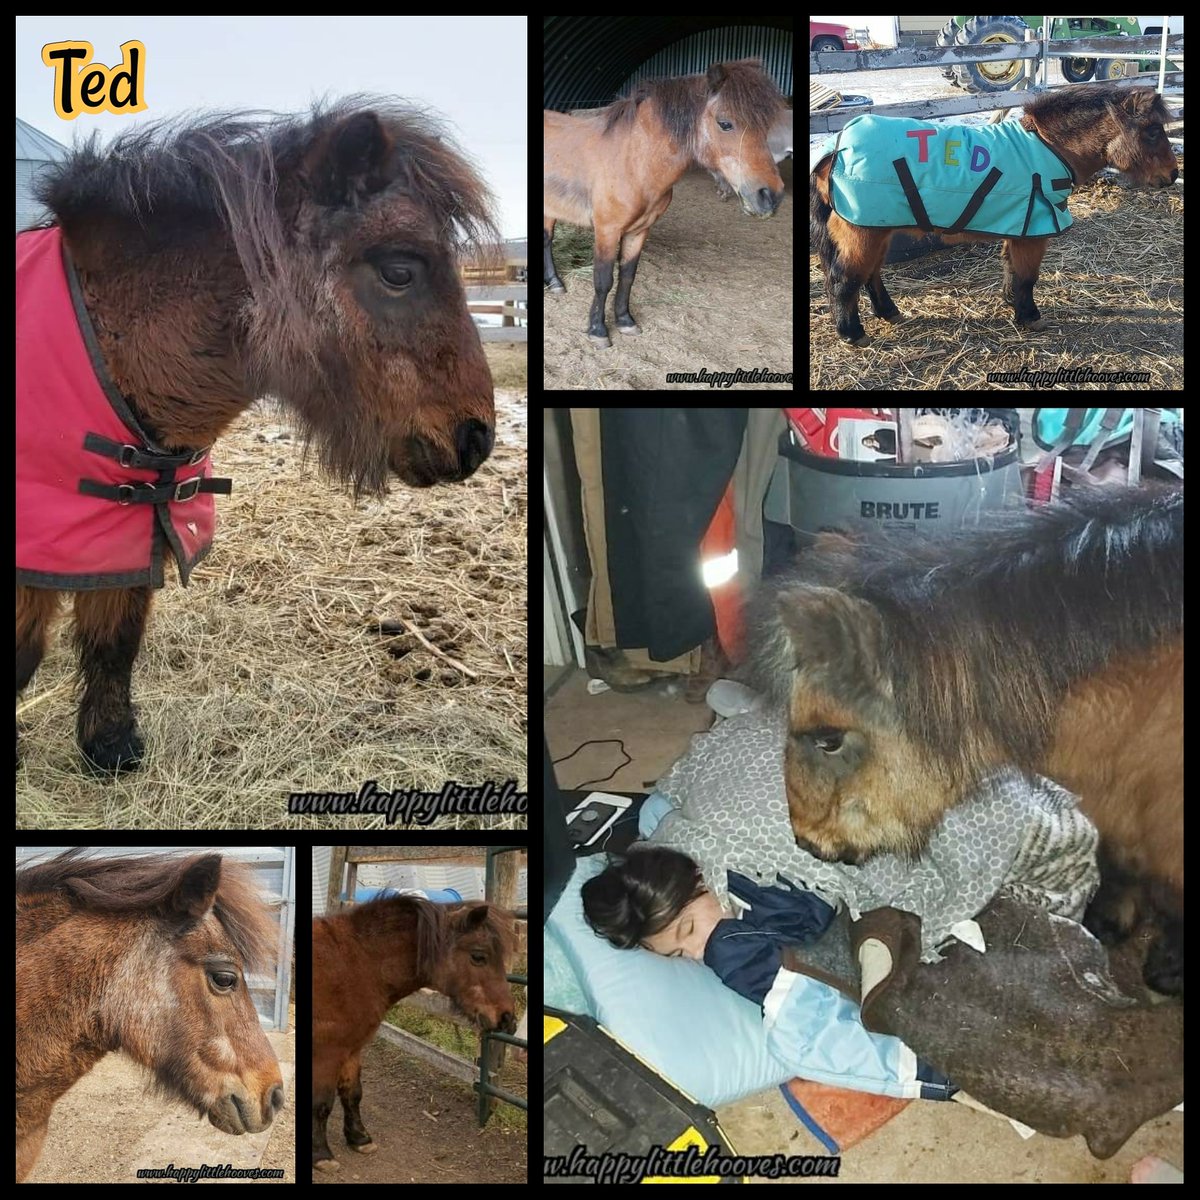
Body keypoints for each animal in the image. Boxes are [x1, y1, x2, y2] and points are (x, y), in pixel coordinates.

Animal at [311, 895, 516, 1172]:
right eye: (478, 956)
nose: (507, 1019)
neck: (355, 963)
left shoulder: (353, 1049)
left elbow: (352, 1094)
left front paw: (360, 1138)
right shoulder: (327, 1054)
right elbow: (322, 1104)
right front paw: (321, 1154)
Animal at [544, 58, 785, 347]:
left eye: (766, 126)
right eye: (725, 123)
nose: (770, 196)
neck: (634, 160)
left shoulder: (639, 230)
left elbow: (628, 275)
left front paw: (625, 321)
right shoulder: (607, 231)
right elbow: (603, 280)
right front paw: (598, 331)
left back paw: (554, 283)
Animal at [810, 84, 1178, 346]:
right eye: (1152, 131)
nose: (1173, 175)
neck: (1050, 148)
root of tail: (835, 149)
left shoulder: (1019, 228)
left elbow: (1011, 269)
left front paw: (1012, 303)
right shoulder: (1033, 233)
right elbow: (1027, 276)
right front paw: (1030, 316)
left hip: (876, 228)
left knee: (870, 275)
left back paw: (889, 313)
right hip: (861, 232)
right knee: (845, 279)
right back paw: (852, 334)